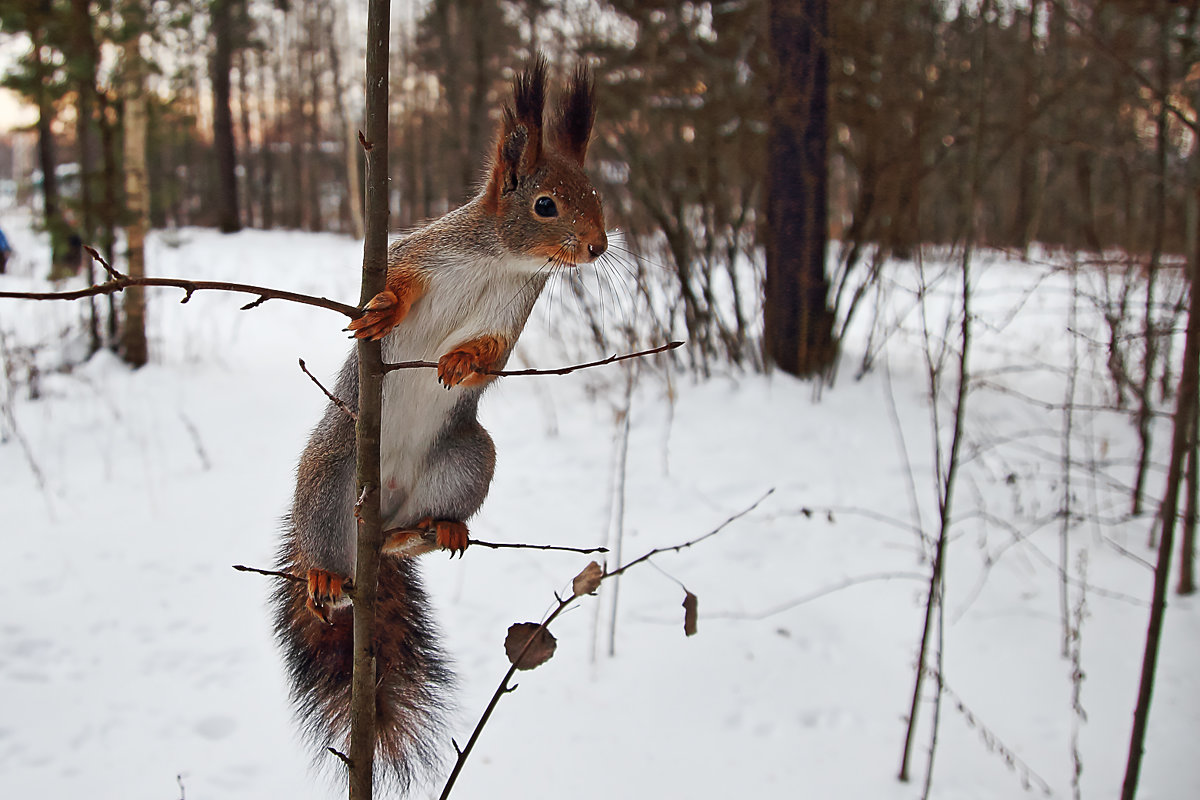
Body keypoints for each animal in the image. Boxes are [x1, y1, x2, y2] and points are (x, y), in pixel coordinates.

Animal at [273, 57, 609, 786]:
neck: (500, 259)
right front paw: (382, 312)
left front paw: (458, 362)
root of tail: (382, 509)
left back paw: (433, 531)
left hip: (468, 458)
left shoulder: (513, 312)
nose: (600, 246)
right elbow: (395, 282)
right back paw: (322, 578)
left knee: (412, 536)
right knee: (323, 548)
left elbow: (490, 359)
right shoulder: (420, 251)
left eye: (597, 195)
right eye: (546, 205)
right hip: (332, 471)